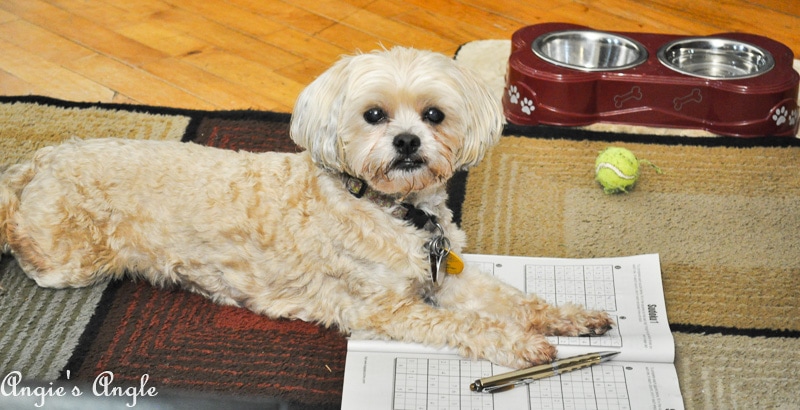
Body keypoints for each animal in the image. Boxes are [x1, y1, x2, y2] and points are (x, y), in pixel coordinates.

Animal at [1, 48, 612, 368]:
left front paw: (571, 317)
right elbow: (468, 324)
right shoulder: (384, 310)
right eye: (373, 115)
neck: (394, 210)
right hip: (71, 261)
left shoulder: (449, 276)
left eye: (434, 115)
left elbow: (513, 299)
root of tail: (42, 159)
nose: (407, 142)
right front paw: (524, 345)